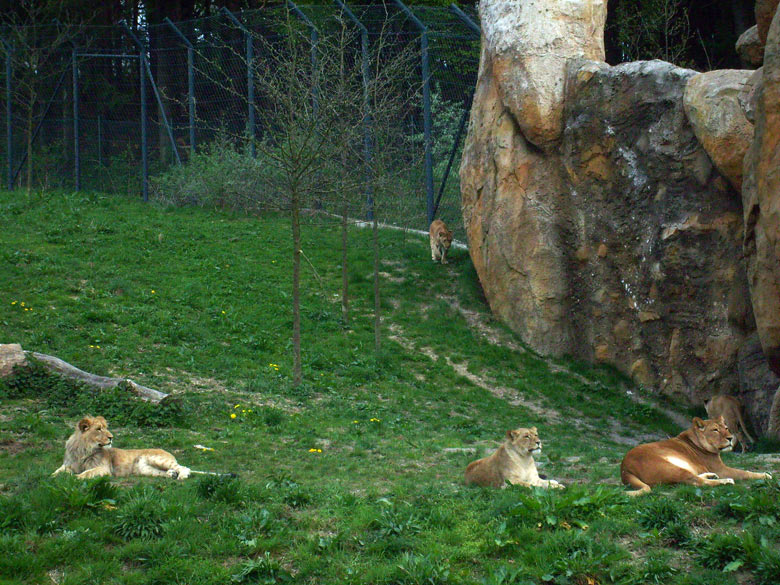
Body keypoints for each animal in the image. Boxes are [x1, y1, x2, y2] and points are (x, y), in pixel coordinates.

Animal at [53, 416, 192, 480]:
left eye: (106, 427)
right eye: (99, 429)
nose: (111, 437)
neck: (84, 449)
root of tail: (167, 451)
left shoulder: (104, 468)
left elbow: (87, 473)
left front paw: (76, 478)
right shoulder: (68, 464)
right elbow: (57, 471)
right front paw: (51, 477)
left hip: (157, 459)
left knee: (185, 467)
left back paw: (181, 476)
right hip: (145, 470)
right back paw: (171, 474)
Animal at [620, 412, 772, 496]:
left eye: (726, 428)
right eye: (715, 430)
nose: (730, 438)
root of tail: (625, 469)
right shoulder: (721, 469)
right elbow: (745, 472)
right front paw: (765, 475)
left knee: (694, 478)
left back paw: (711, 476)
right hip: (671, 467)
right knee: (697, 482)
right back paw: (725, 481)